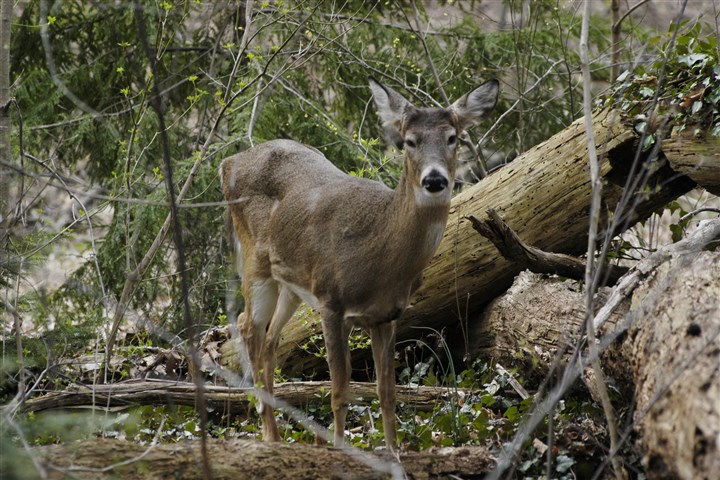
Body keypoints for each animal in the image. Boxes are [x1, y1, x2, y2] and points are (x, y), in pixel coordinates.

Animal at [219, 77, 499, 451]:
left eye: (453, 138)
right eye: (408, 142)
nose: (435, 179)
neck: (381, 258)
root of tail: (228, 162)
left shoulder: (387, 316)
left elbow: (387, 393)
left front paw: (394, 454)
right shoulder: (331, 301)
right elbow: (340, 392)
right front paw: (340, 449)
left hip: (292, 281)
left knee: (269, 339)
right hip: (255, 263)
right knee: (248, 325)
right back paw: (271, 436)